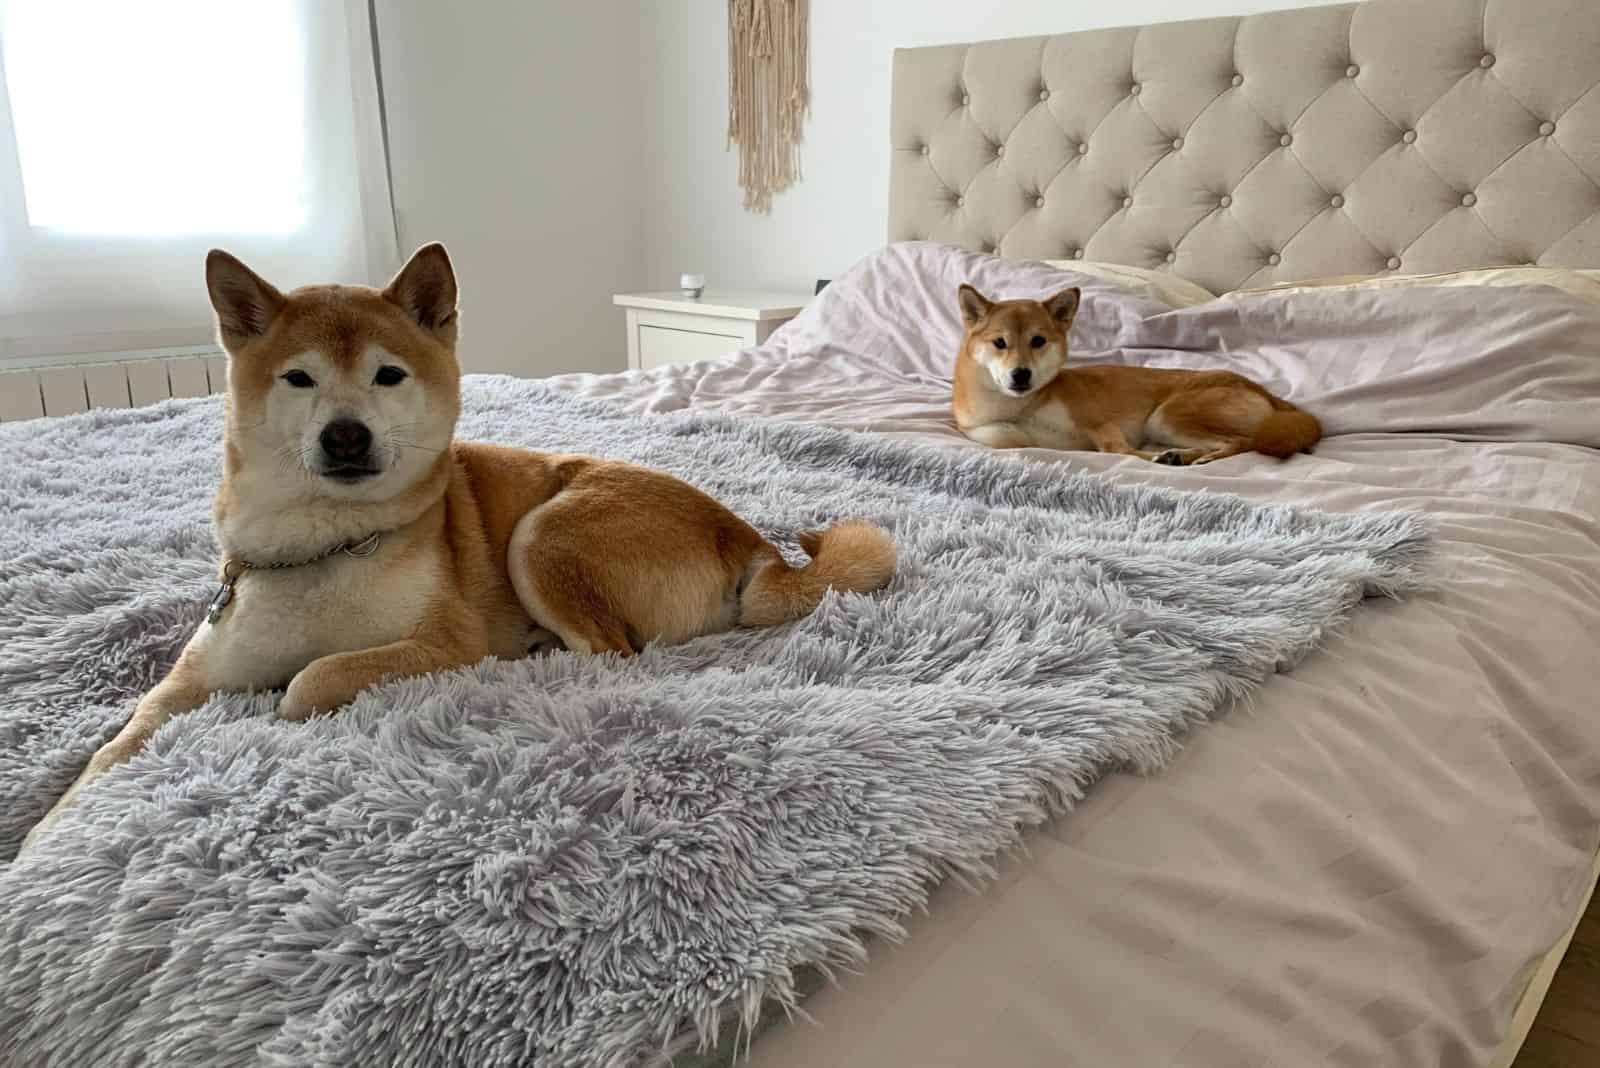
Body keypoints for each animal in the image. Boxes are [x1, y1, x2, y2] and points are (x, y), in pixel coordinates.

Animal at [21, 244, 902, 850]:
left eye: (388, 375)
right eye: (299, 378)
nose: (347, 435)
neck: (325, 545)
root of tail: (745, 535)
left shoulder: (441, 639)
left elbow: (308, 680)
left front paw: (290, 701)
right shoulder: (193, 677)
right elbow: (116, 747)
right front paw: (45, 837)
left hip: (545, 533)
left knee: (609, 654)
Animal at [953, 282, 1318, 463]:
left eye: (1038, 341)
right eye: (1000, 343)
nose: (1021, 374)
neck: (1021, 407)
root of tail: (1264, 392)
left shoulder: (1099, 422)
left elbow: (1118, 449)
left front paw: (1143, 456)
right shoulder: (986, 431)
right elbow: (1007, 437)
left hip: (1167, 415)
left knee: (1243, 441)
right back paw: (1178, 456)